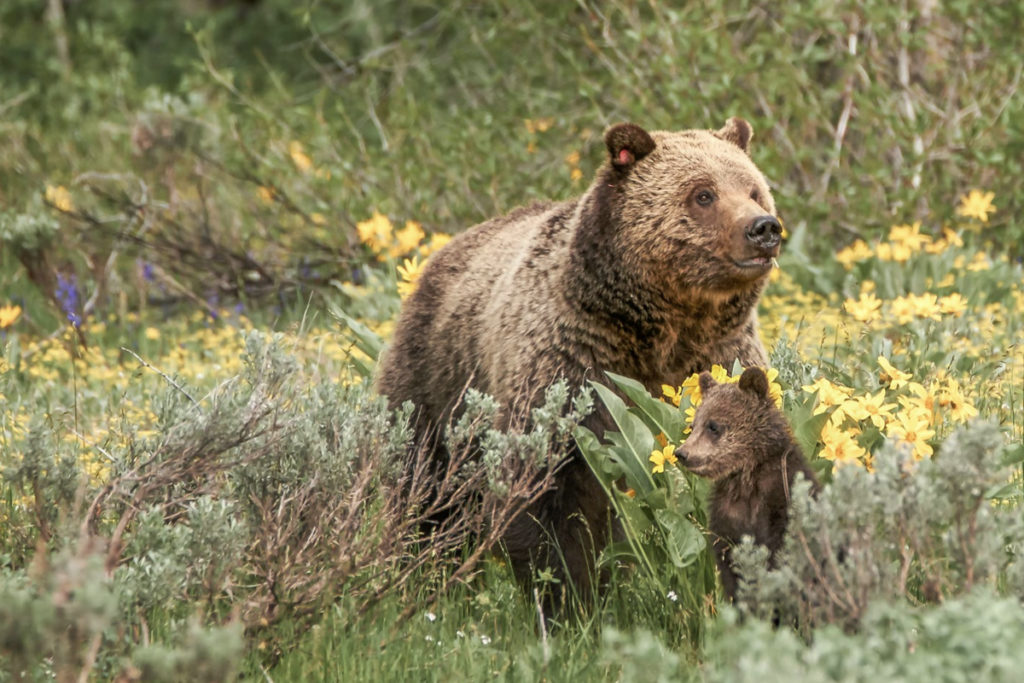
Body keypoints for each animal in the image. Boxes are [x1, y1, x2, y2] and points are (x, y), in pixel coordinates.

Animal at [375, 117, 783, 602]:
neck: (663, 327)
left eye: (754, 189)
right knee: (423, 483)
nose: (764, 227)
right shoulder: (572, 366)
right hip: (438, 375)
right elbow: (546, 491)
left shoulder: (723, 354)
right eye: (703, 194)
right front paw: (571, 594)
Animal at [675, 367, 820, 601]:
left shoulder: (782, 498)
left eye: (713, 426)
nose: (682, 453)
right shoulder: (726, 515)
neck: (746, 478)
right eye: (693, 425)